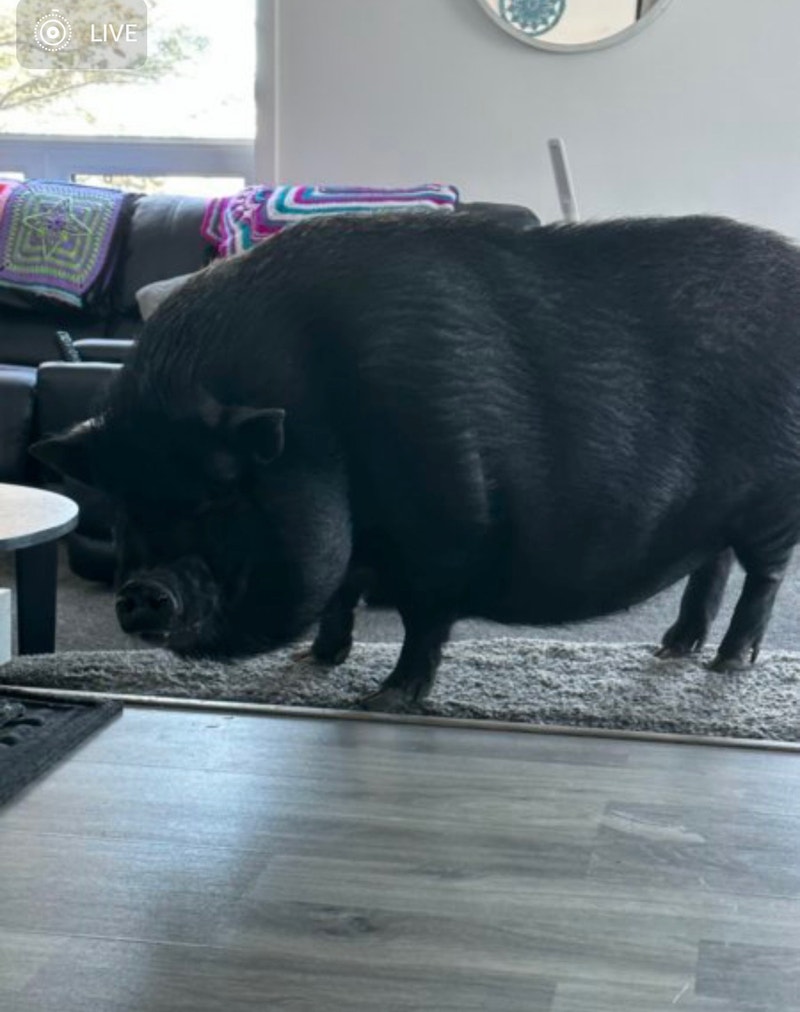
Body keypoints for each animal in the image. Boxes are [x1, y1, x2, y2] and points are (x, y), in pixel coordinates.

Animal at [31, 212, 800, 711]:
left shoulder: (446, 528)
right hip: (713, 512)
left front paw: (384, 700)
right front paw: (317, 659)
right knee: (711, 565)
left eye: (221, 495)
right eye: (124, 503)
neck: (323, 435)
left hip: (772, 501)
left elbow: (423, 621)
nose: (142, 591)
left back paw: (727, 664)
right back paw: (674, 648)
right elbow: (341, 597)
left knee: (761, 579)